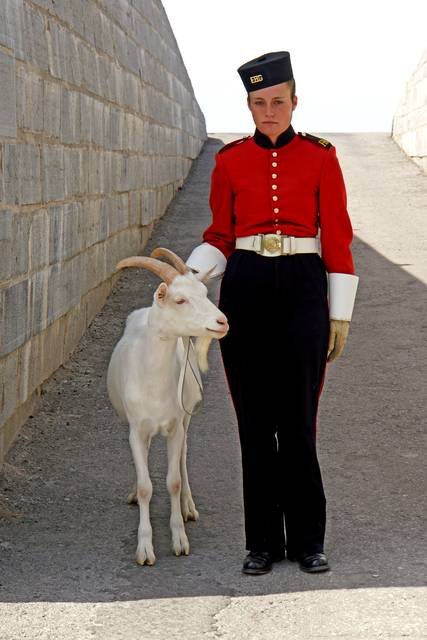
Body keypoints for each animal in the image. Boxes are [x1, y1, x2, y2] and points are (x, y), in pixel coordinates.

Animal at [107, 248, 229, 565]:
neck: (155, 380)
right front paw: (145, 548)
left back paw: (188, 506)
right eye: (180, 300)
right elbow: (146, 486)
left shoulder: (175, 427)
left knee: (183, 459)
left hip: (185, 420)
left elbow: (173, 481)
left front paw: (180, 540)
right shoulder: (136, 430)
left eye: (204, 292)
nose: (222, 322)